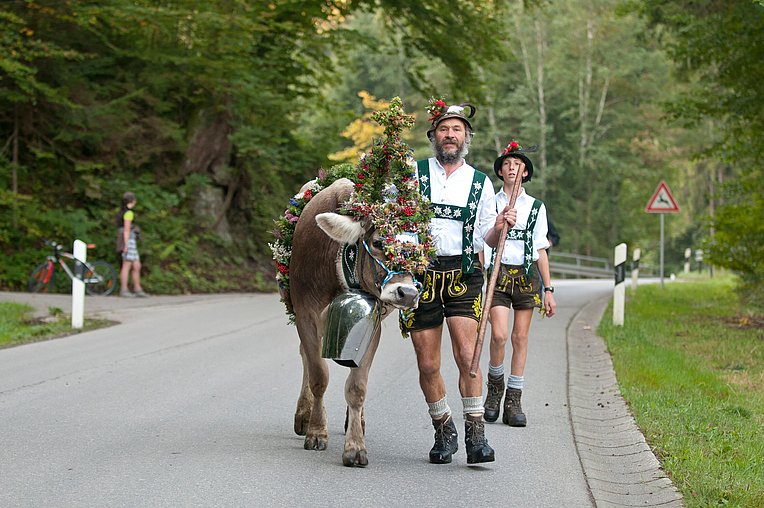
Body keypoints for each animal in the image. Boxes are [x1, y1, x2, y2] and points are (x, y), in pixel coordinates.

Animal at [286, 179, 420, 468]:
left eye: (419, 250)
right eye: (379, 242)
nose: (408, 294)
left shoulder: (372, 319)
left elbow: (357, 386)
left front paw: (355, 447)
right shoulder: (305, 314)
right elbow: (318, 376)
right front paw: (316, 432)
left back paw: (356, 420)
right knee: (305, 358)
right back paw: (304, 415)